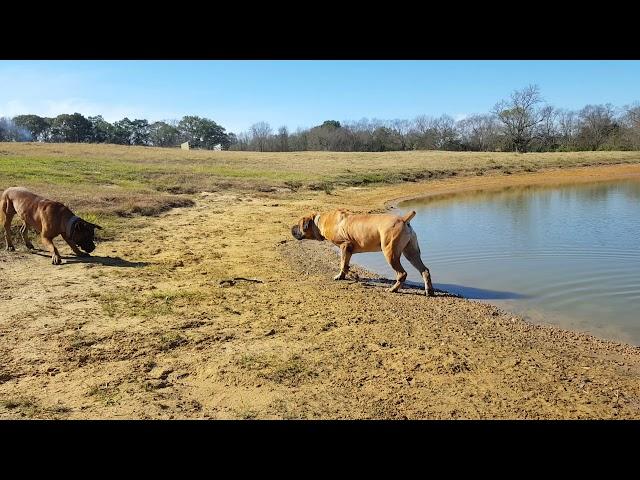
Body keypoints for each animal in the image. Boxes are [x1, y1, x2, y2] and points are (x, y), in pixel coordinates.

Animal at [292, 207, 436, 294]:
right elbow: (345, 265)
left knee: (402, 274)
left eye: (298, 225)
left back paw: (393, 289)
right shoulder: (348, 250)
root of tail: (403, 220)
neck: (319, 221)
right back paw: (429, 291)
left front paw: (350, 275)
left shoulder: (345, 246)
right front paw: (344, 275)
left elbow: (342, 264)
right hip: (411, 252)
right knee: (424, 270)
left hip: (390, 253)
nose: (291, 228)